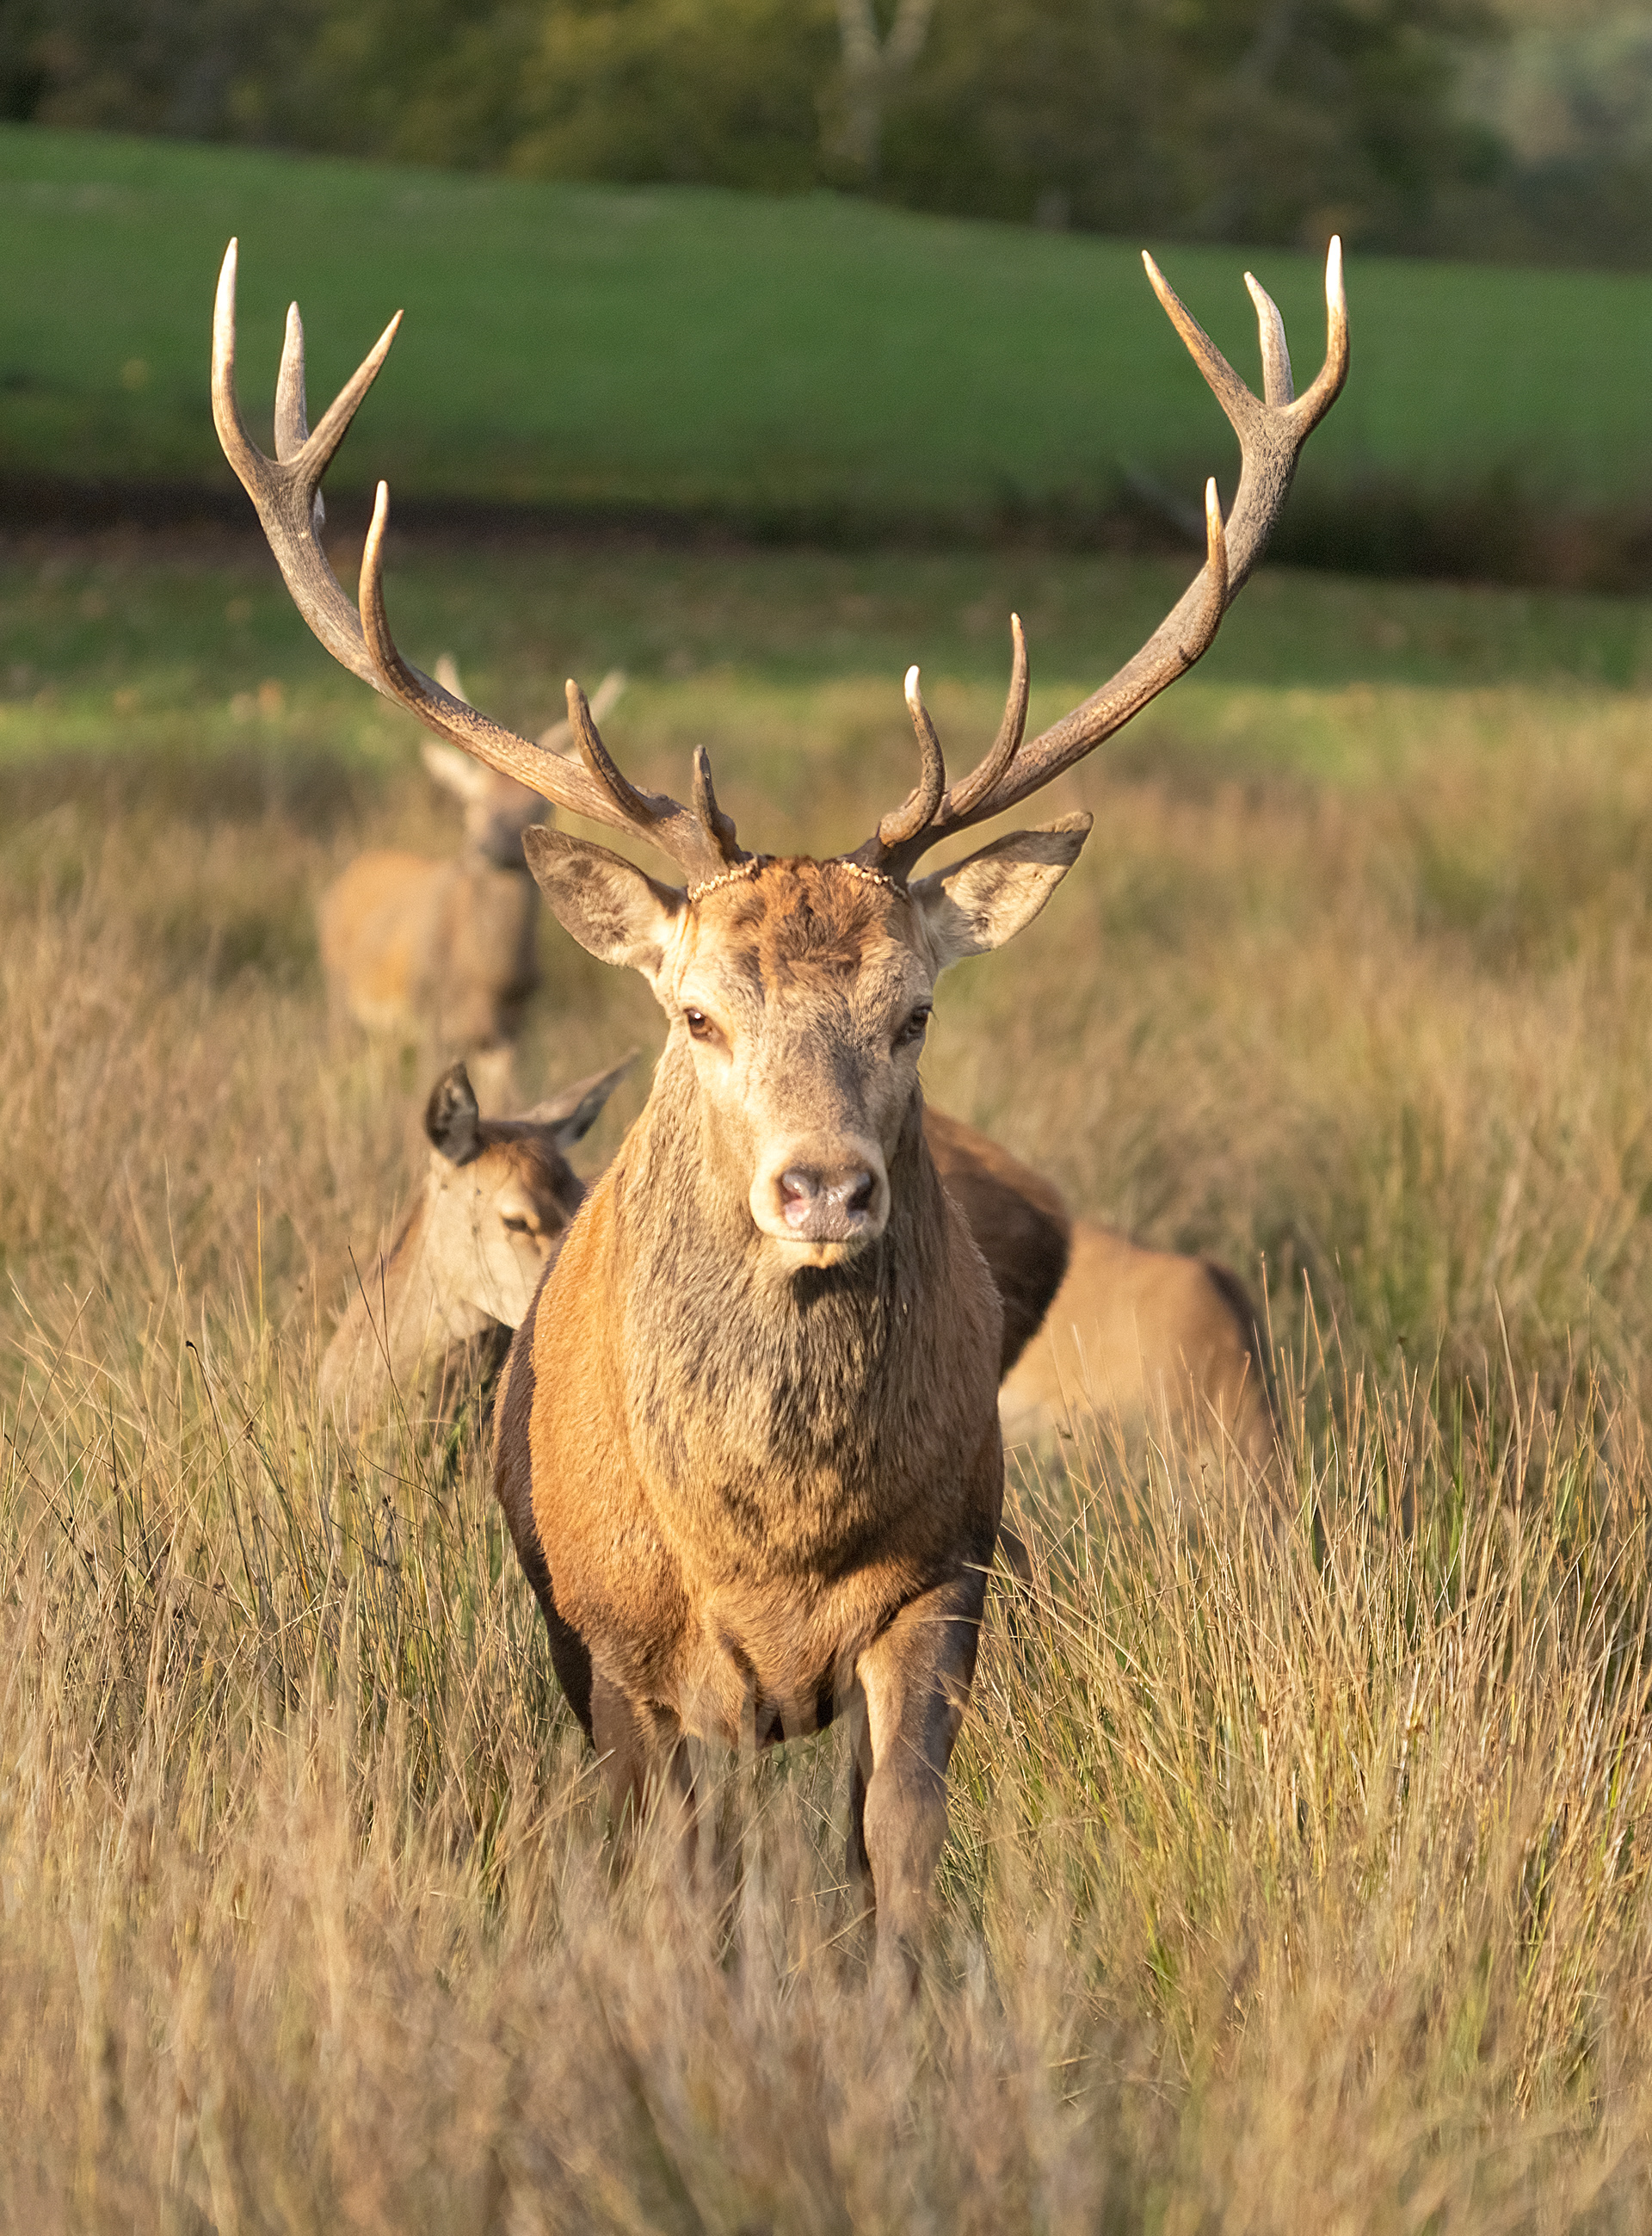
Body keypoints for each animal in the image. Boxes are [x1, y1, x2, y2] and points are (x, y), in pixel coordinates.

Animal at [317, 659, 625, 1109]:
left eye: (537, 809)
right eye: (474, 802)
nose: (490, 847)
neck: (485, 977)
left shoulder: (513, 1030)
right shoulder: (431, 1018)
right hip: (340, 991)